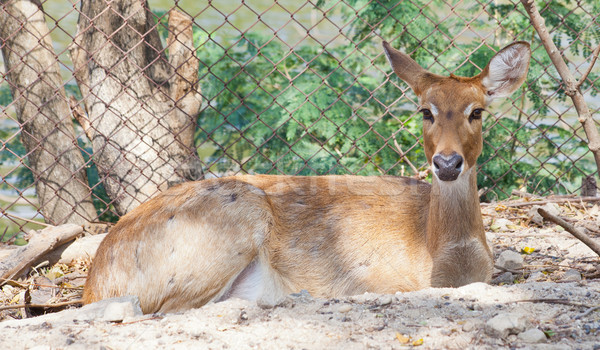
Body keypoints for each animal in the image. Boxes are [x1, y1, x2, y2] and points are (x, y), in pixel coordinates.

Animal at [83, 41, 528, 314]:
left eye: (477, 111)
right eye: (425, 111)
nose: (447, 163)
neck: (439, 257)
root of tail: (94, 282)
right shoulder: (373, 279)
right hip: (234, 217)